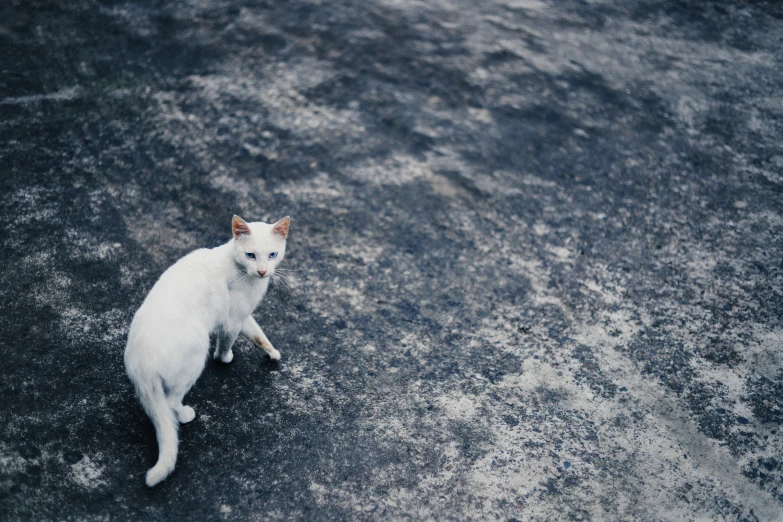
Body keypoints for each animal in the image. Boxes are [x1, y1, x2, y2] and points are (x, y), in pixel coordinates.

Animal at [125, 213, 290, 486]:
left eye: (272, 255)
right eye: (251, 255)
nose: (262, 271)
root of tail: (140, 364)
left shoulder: (244, 316)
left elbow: (257, 333)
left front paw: (271, 351)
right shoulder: (232, 320)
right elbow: (227, 342)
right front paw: (224, 357)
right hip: (197, 348)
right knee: (170, 402)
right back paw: (185, 414)